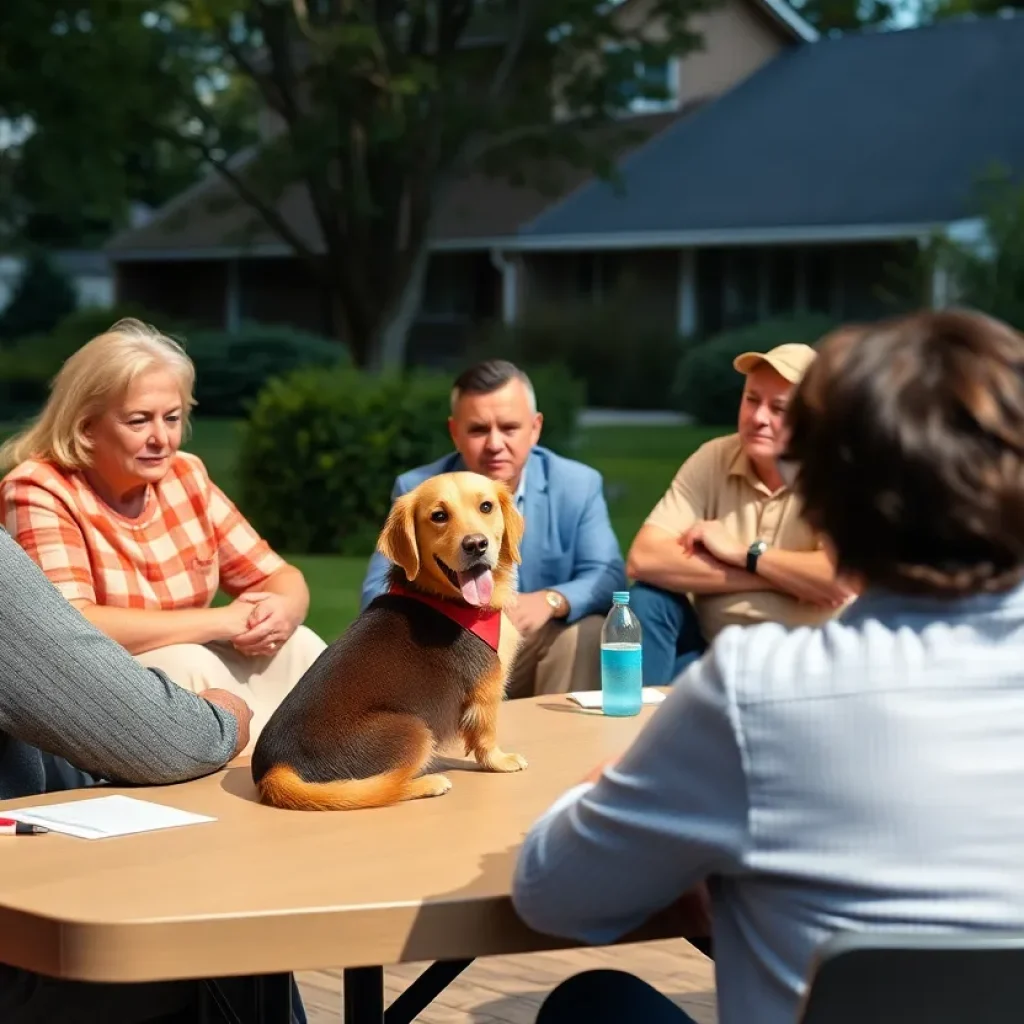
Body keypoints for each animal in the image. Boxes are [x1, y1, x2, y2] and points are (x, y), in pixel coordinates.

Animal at [249, 468, 528, 811]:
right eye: (439, 516)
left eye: (486, 507)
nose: (476, 544)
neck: (441, 597)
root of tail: (274, 771)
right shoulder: (486, 691)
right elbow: (486, 736)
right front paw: (500, 761)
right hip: (415, 729)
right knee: (386, 787)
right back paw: (428, 782)